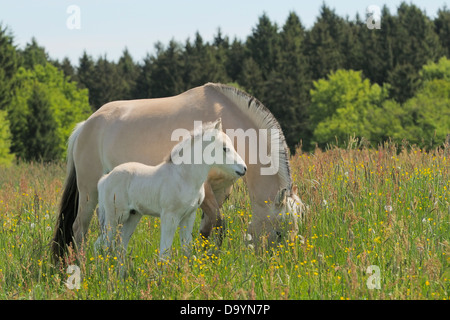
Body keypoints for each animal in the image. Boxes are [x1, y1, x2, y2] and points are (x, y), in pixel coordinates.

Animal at [51, 83, 304, 260]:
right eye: (280, 233)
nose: (284, 263)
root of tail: (85, 125)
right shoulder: (206, 189)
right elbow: (218, 224)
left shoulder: (219, 191)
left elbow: (207, 228)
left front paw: (207, 259)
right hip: (89, 192)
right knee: (79, 229)